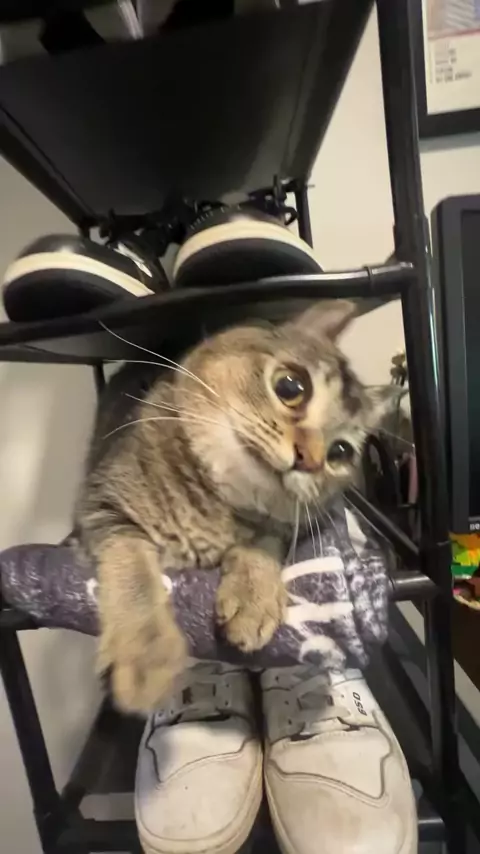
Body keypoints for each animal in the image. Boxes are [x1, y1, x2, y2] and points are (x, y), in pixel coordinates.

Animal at [75, 300, 399, 715]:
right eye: (291, 386)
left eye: (340, 452)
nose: (308, 460)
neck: (214, 507)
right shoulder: (100, 504)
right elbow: (134, 570)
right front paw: (148, 655)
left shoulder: (279, 528)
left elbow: (264, 544)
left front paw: (253, 598)